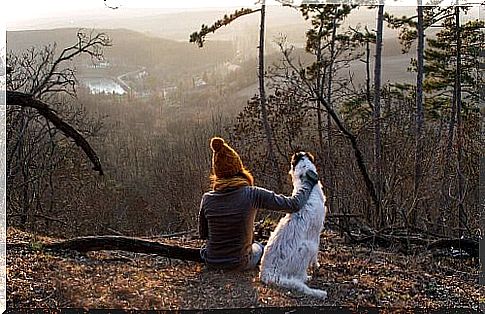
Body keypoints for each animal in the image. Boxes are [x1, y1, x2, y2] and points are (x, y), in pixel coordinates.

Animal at [260, 152, 328, 300]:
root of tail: (267, 274)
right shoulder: (317, 234)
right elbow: (316, 257)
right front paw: (316, 266)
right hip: (307, 247)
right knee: (300, 278)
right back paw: (307, 278)